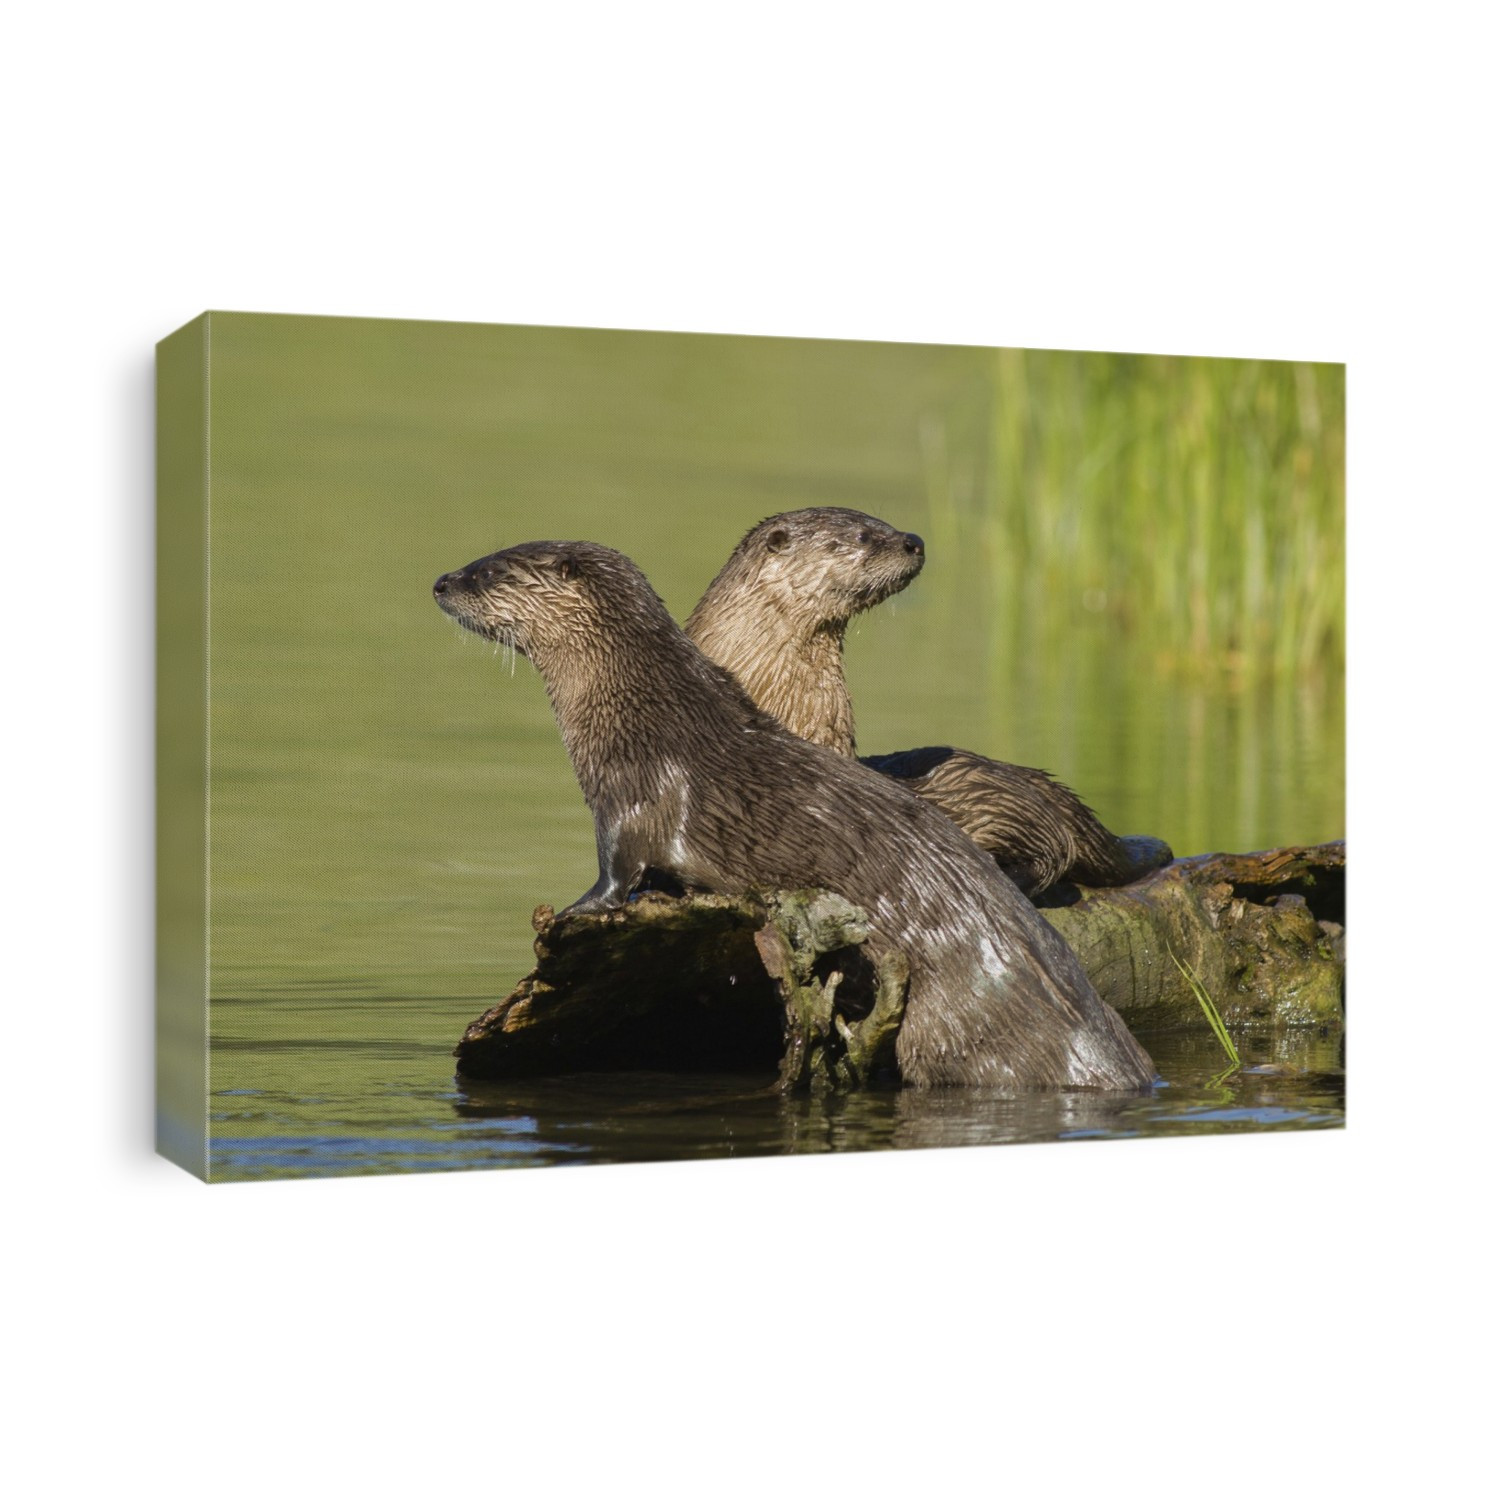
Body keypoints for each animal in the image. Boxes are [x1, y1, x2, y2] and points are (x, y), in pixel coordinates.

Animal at [433, 541, 1155, 1091]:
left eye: (488, 570)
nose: (440, 580)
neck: (636, 706)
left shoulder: (632, 795)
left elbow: (618, 868)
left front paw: (574, 911)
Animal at [685, 507, 1173, 897]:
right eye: (863, 535)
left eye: (882, 520)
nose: (914, 540)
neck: (777, 696)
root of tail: (1037, 779)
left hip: (1004, 802)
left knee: (1056, 851)